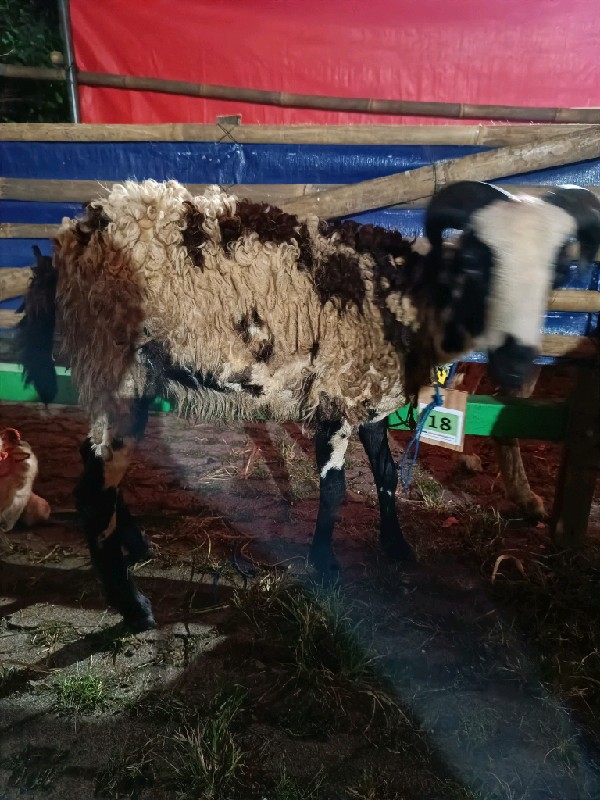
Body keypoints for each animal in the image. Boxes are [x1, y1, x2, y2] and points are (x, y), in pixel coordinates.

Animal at [17, 179, 600, 631]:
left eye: (559, 273)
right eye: (480, 263)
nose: (518, 366)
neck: (407, 297)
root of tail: (70, 237)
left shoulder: (370, 392)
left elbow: (386, 473)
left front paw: (396, 547)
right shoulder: (338, 391)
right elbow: (336, 488)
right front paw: (326, 564)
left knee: (101, 468)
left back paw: (137, 546)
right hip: (116, 361)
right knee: (92, 491)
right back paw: (134, 609)